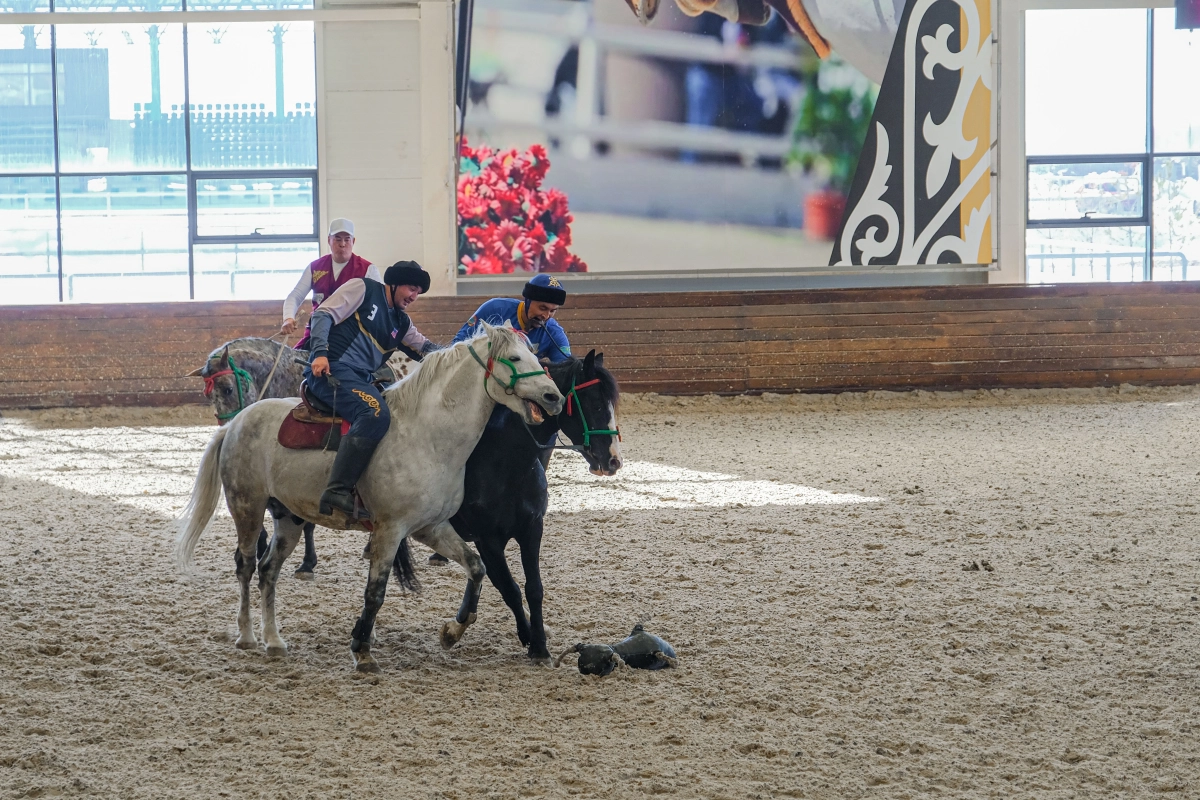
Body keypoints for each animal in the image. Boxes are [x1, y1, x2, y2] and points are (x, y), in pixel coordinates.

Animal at [184, 340, 415, 578]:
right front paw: (262, 546)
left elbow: (307, 522)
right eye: (208, 395)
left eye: (229, 389)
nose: (229, 427)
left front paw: (307, 563)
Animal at [439, 350, 624, 662]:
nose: (613, 460)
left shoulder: (531, 528)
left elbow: (533, 588)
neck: (503, 461)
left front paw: (539, 644)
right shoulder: (488, 539)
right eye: (596, 404)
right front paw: (530, 637)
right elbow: (509, 588)